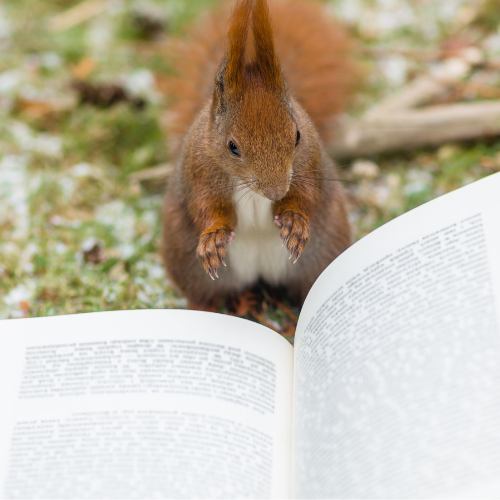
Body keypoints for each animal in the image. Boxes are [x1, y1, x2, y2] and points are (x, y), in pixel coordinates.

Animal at [163, 0, 360, 310]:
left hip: (324, 249)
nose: (276, 192)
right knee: (205, 297)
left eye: (297, 135)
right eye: (232, 146)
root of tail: (259, 274)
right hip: (185, 262)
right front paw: (213, 237)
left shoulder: (308, 162)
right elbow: (205, 207)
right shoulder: (200, 173)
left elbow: (306, 195)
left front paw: (295, 221)